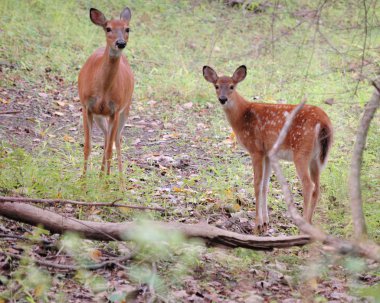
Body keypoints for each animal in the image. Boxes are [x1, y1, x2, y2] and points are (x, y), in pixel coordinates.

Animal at [78, 7, 134, 176]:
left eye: (127, 29)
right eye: (108, 28)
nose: (120, 43)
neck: (103, 90)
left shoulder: (115, 109)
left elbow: (110, 150)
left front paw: (106, 182)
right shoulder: (86, 106)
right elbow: (87, 147)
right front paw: (82, 180)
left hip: (124, 110)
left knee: (116, 140)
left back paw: (117, 181)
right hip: (100, 116)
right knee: (106, 137)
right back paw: (101, 174)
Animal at [202, 66, 332, 233]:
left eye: (232, 86)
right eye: (216, 86)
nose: (222, 99)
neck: (242, 115)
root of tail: (323, 123)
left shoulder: (256, 149)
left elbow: (257, 184)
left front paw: (257, 224)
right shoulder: (268, 153)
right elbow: (265, 185)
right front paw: (265, 223)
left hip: (301, 152)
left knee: (309, 185)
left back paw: (303, 225)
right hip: (317, 158)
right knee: (318, 187)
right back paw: (310, 225)